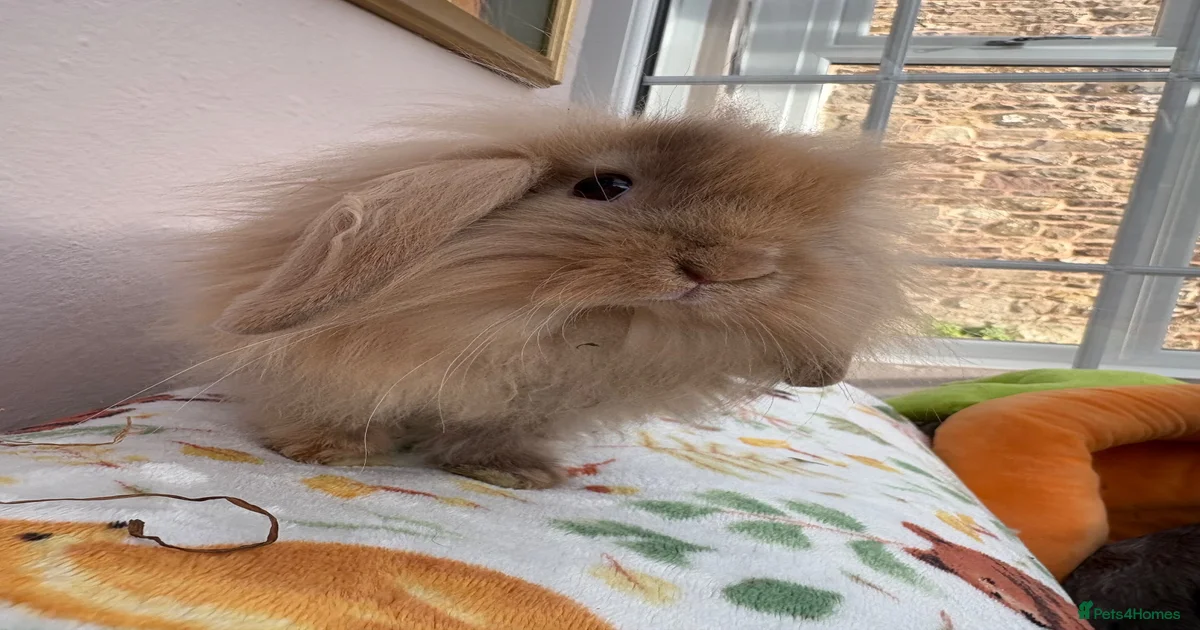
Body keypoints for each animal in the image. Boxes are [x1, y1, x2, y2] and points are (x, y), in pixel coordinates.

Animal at [170, 104, 913, 489]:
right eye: (606, 186)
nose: (731, 266)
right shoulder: (332, 374)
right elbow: (330, 409)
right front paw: (323, 453)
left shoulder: (528, 408)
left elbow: (495, 434)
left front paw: (515, 475)